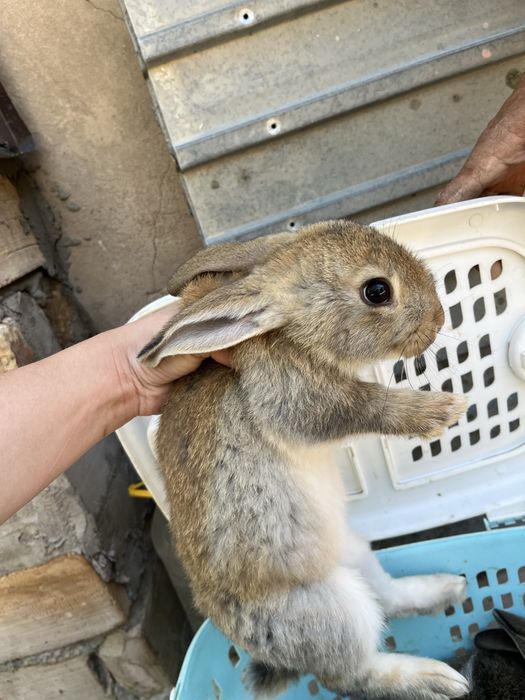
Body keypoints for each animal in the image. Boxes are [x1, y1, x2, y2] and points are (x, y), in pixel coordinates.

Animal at [139, 220, 470, 699]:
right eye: (377, 291)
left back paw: (448, 588)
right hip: (332, 612)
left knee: (387, 596)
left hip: (353, 552)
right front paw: (441, 411)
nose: (438, 320)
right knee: (353, 673)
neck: (291, 332)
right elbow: (366, 406)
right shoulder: (296, 396)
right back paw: (439, 680)